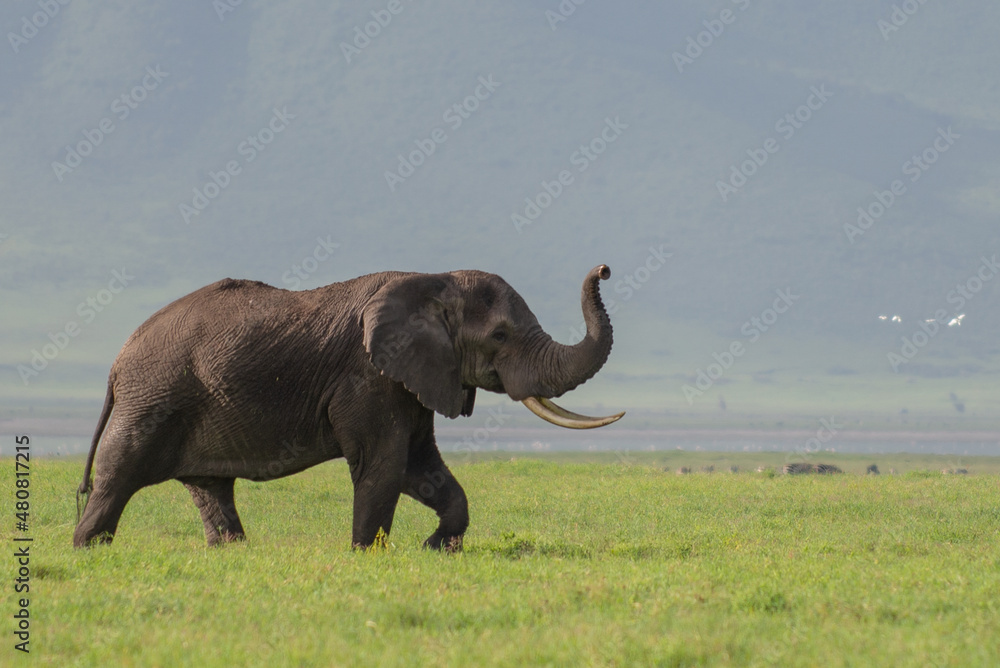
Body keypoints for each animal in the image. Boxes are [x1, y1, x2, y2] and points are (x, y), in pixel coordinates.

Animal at [73, 265, 624, 551]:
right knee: (116, 478)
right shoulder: (368, 378)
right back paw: (88, 552)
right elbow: (384, 466)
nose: (604, 268)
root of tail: (117, 362)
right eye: (501, 336)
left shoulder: (409, 378)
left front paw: (436, 548)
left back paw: (230, 552)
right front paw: (367, 556)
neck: (434, 280)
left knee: (211, 490)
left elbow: (421, 468)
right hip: (152, 399)